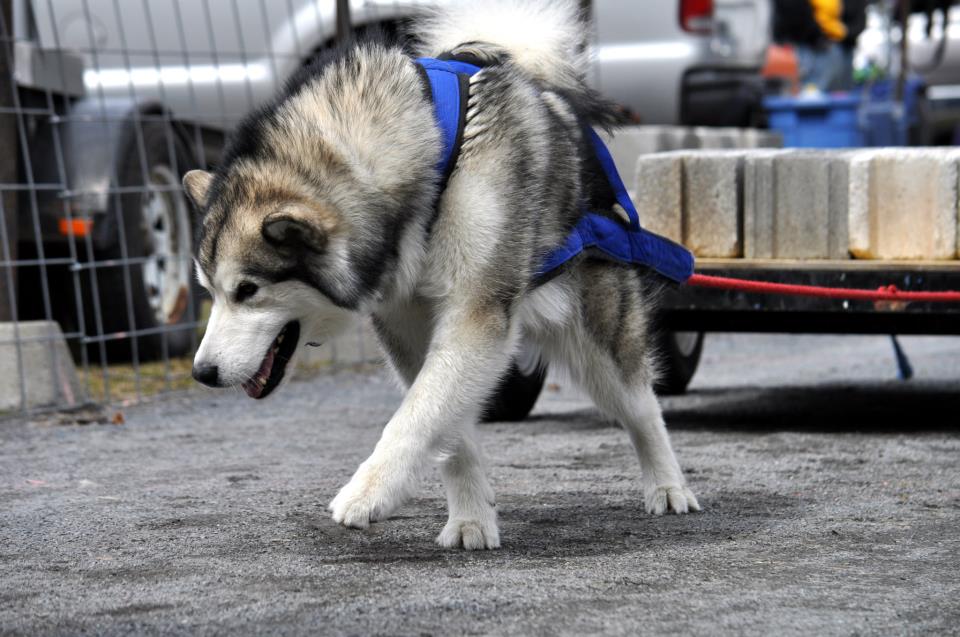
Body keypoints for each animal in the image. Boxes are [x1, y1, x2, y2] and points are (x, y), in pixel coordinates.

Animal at [184, 0, 700, 548]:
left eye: (248, 290)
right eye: (210, 292)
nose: (202, 373)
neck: (434, 154)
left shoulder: (474, 316)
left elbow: (415, 416)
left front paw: (368, 492)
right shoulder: (406, 324)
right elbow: (442, 421)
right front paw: (471, 517)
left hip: (595, 336)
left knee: (640, 403)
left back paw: (668, 485)